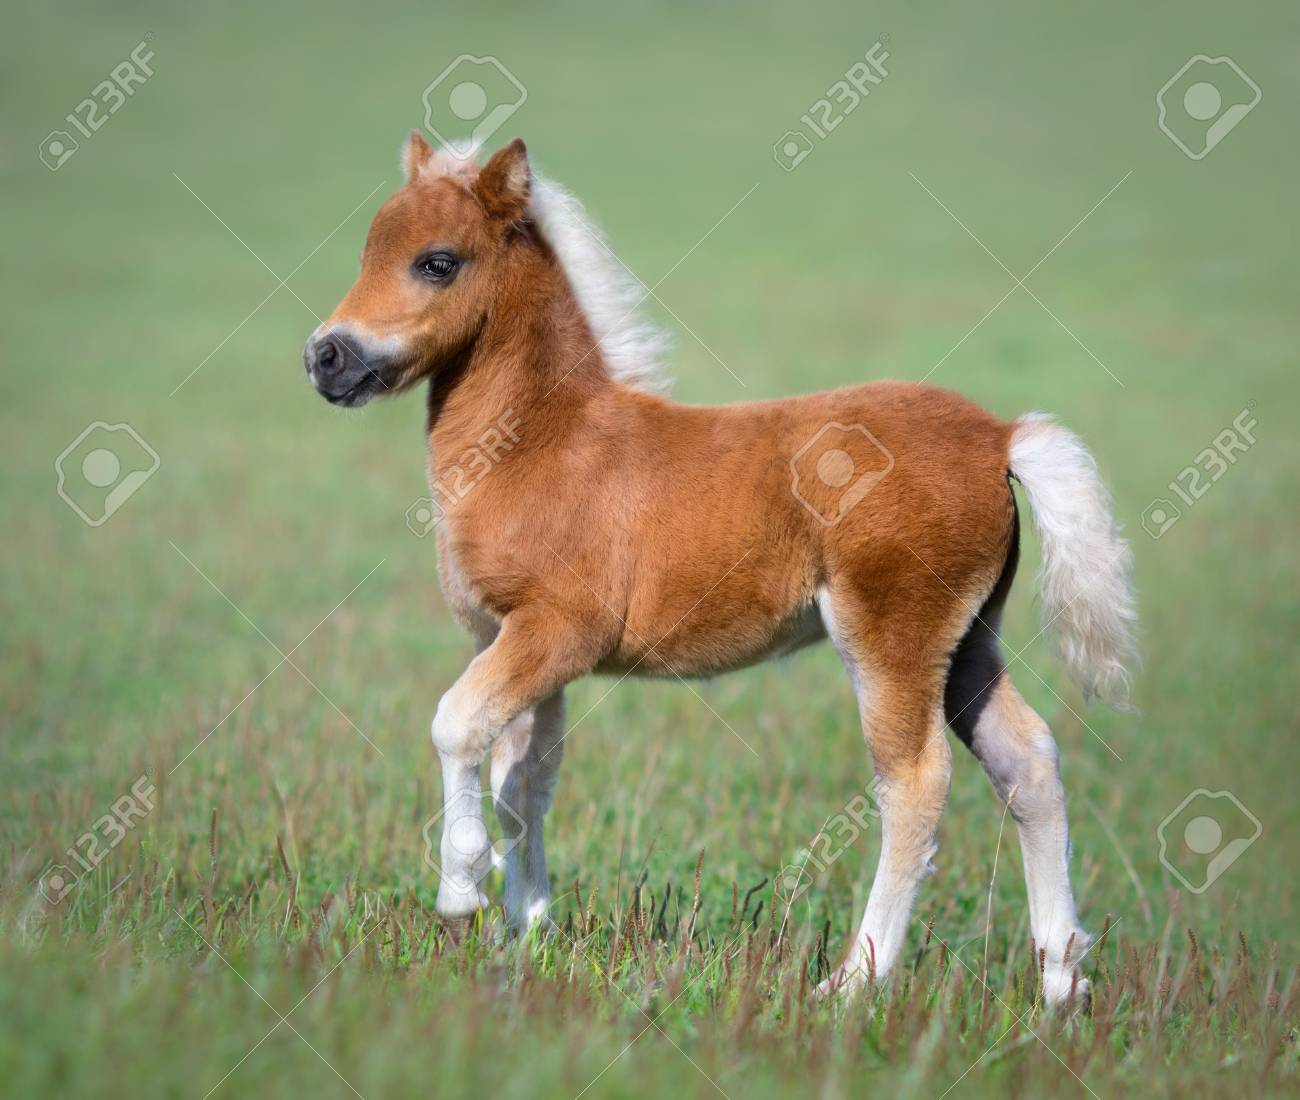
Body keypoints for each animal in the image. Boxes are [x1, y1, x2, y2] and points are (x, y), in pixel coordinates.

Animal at [303, 132, 1137, 1003]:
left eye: (437, 261)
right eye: (367, 252)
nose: (326, 357)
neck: (544, 441)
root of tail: (1001, 435)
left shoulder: (558, 632)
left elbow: (456, 724)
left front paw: (462, 896)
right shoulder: (513, 641)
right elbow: (523, 781)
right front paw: (525, 934)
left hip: (892, 636)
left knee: (915, 782)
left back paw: (853, 984)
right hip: (969, 639)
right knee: (1028, 762)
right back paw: (1061, 985)